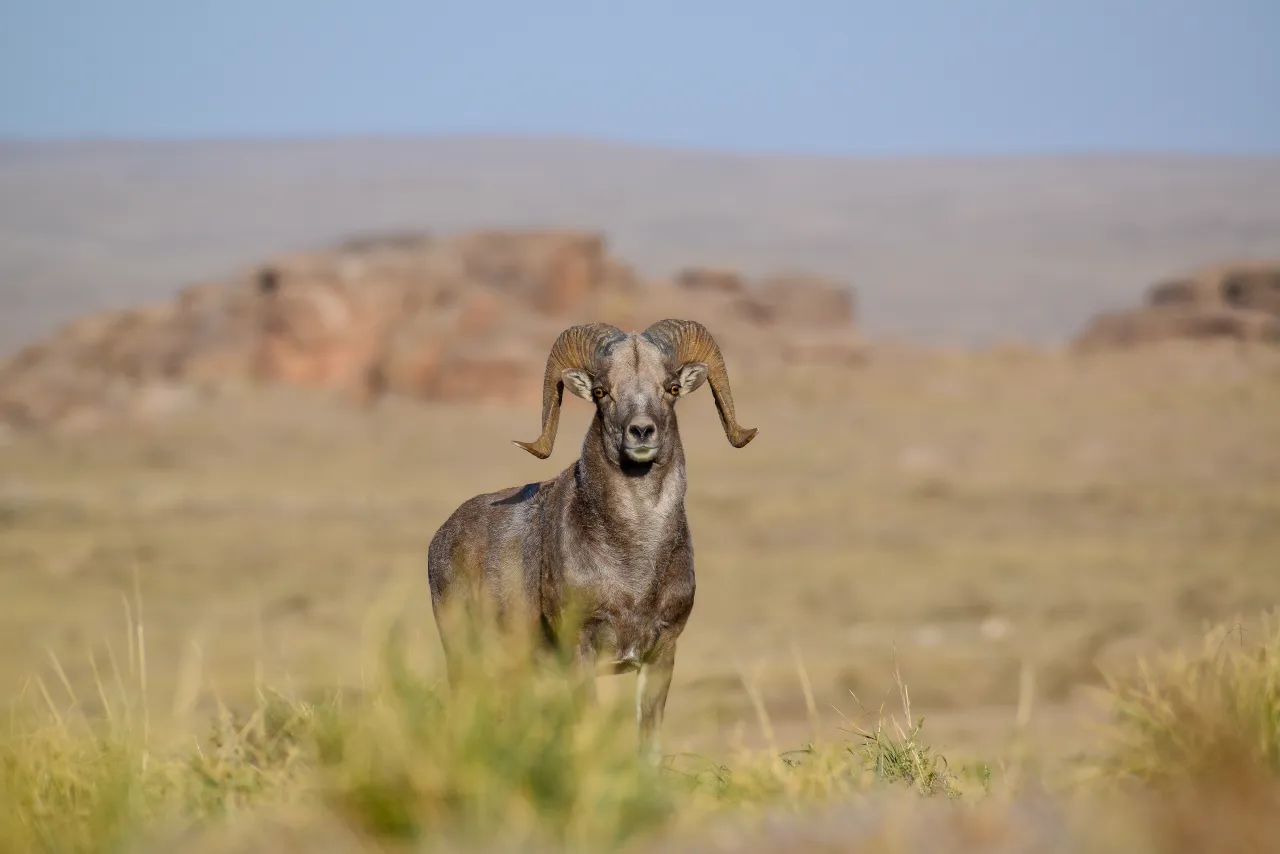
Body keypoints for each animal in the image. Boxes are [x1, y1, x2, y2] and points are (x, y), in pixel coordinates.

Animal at [427, 318, 757, 762]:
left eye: (671, 388)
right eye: (602, 391)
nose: (641, 431)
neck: (635, 569)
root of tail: (441, 539)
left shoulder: (661, 653)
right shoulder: (580, 649)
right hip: (464, 654)